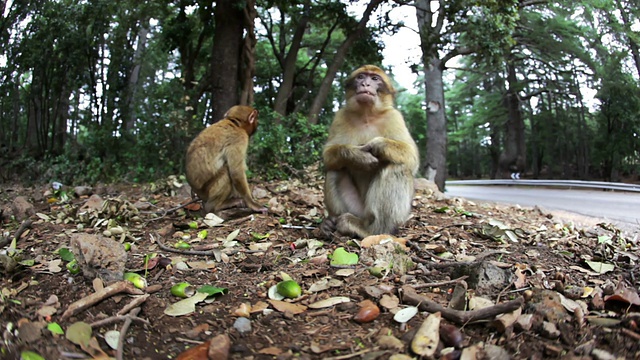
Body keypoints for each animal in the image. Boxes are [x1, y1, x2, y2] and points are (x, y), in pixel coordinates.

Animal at [320, 64, 420, 239]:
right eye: (361, 77)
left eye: (374, 78)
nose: (365, 84)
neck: (366, 115)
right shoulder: (340, 116)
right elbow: (328, 155)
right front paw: (357, 156)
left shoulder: (394, 117)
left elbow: (411, 157)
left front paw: (377, 145)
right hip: (356, 208)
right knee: (335, 169)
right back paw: (331, 223)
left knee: (397, 167)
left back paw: (372, 230)